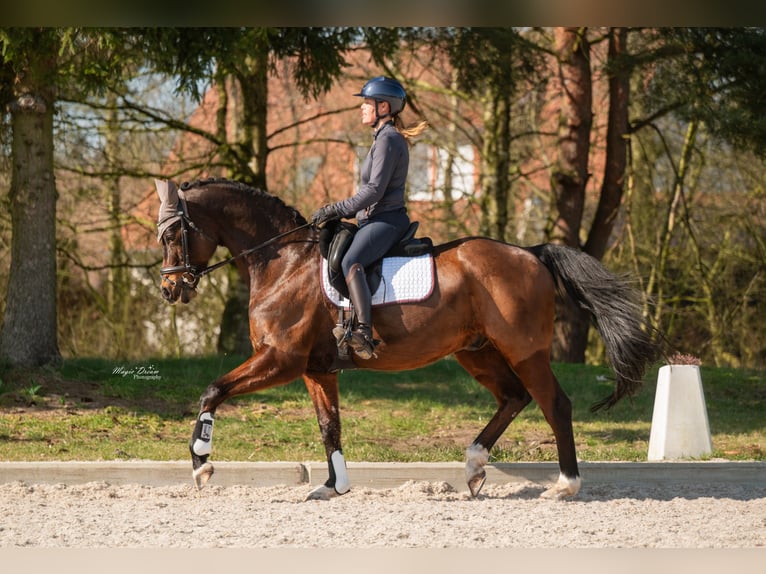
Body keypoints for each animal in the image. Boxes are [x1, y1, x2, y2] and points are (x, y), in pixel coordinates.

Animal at [155, 177, 659, 500]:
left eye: (174, 232)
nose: (170, 288)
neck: (283, 261)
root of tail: (530, 253)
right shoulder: (316, 370)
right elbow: (329, 426)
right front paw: (333, 486)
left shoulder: (281, 360)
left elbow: (212, 390)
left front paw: (202, 464)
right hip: (476, 353)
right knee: (513, 397)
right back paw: (474, 466)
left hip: (524, 350)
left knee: (554, 404)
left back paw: (565, 485)